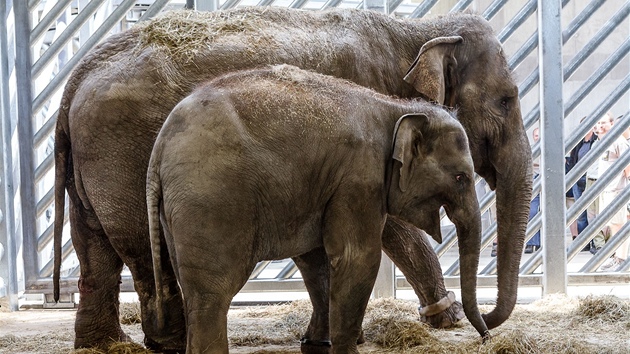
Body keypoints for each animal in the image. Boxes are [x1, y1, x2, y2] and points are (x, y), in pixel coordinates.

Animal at [151, 64, 492, 354]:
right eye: (461, 178)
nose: (486, 335)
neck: (396, 108)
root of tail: (160, 146)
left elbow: (316, 260)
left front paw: (316, 343)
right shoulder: (359, 177)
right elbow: (358, 257)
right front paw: (347, 348)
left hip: (178, 210)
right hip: (212, 199)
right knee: (213, 294)